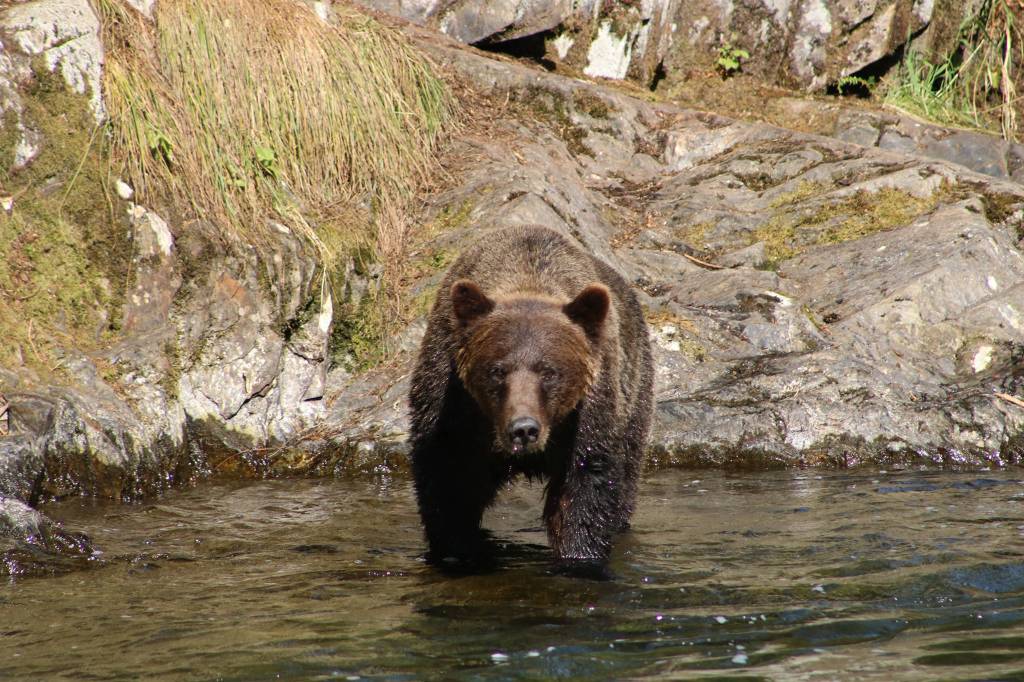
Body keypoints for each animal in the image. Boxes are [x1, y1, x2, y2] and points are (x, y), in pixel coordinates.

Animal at [408, 224, 653, 567]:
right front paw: (458, 551)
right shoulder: (451, 401)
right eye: (497, 370)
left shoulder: (590, 414)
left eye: (549, 371)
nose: (523, 429)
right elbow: (448, 478)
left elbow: (583, 491)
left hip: (634, 388)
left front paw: (580, 557)